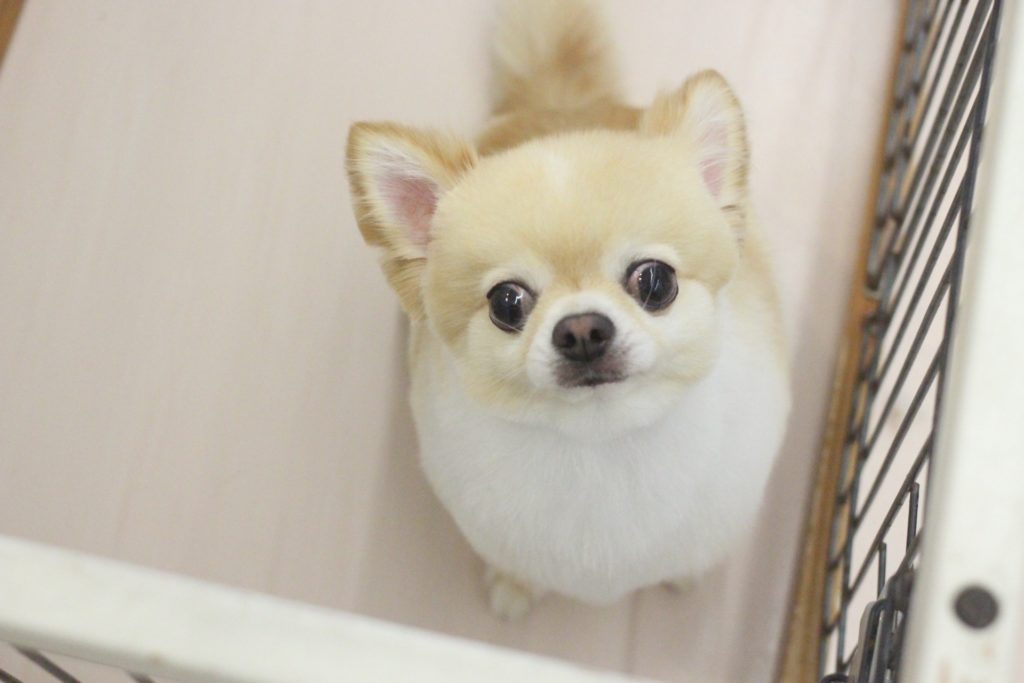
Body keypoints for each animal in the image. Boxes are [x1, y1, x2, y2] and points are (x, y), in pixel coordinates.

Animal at [346, 0, 790, 619]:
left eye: (655, 282)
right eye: (507, 303)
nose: (582, 330)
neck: (599, 445)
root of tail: (562, 99)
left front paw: (684, 576)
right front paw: (514, 588)